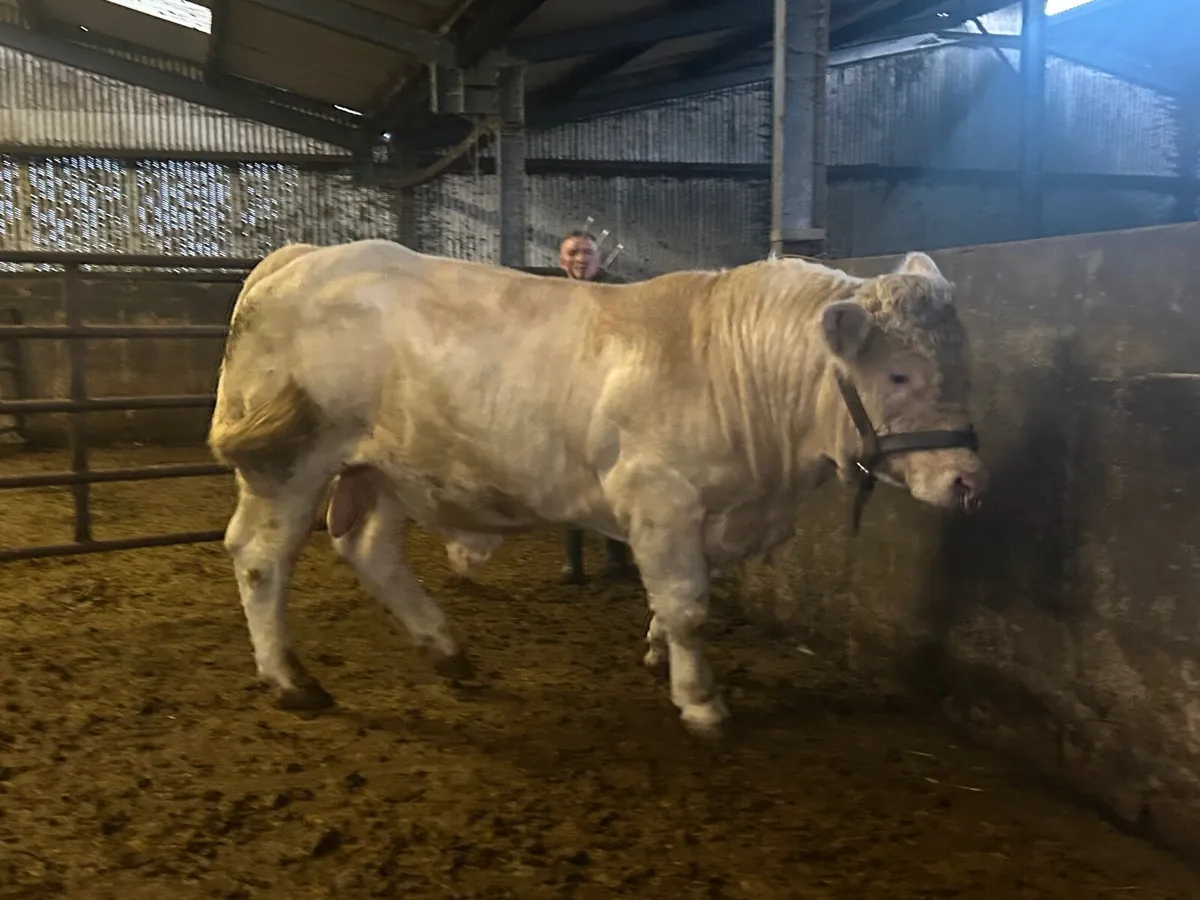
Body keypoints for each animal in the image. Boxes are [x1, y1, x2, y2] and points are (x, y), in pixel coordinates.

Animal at [207, 239, 985, 738]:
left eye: (962, 362)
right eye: (898, 375)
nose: (967, 482)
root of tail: (301, 256)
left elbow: (672, 599)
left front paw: (658, 652)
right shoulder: (661, 497)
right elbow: (690, 606)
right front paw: (701, 703)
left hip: (388, 468)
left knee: (371, 550)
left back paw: (448, 650)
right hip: (290, 459)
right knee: (260, 558)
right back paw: (292, 681)